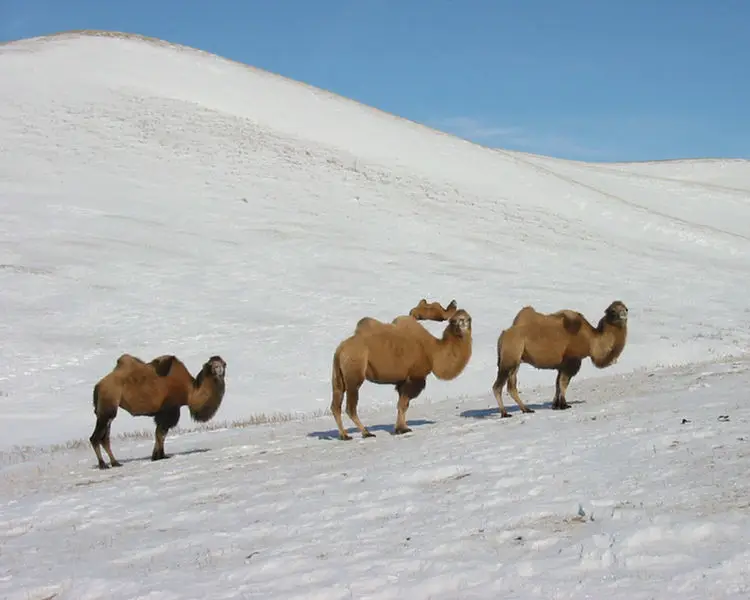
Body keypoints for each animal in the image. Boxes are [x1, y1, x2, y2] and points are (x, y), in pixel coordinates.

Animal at [89, 353, 227, 469]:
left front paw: (157, 455)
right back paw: (103, 465)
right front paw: (160, 456)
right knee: (95, 438)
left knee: (104, 438)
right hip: (108, 406)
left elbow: (159, 434)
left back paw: (115, 463)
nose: (219, 370)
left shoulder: (163, 412)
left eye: (222, 363)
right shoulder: (170, 410)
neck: (189, 392)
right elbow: (161, 433)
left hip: (107, 411)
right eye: (212, 365)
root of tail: (98, 386)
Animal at [331, 309, 473, 440]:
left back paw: (344, 435)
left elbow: (402, 404)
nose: (462, 324)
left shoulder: (402, 380)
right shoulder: (415, 377)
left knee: (335, 405)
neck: (433, 351)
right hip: (354, 373)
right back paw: (366, 433)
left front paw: (400, 428)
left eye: (467, 318)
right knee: (350, 407)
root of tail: (340, 350)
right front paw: (403, 429)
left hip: (338, 376)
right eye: (454, 320)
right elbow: (403, 405)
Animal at [492, 301, 628, 416]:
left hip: (516, 361)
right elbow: (563, 383)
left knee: (511, 386)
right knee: (497, 386)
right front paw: (564, 405)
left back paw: (526, 409)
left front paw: (555, 405)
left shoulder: (562, 365)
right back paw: (505, 413)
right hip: (509, 358)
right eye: (612, 311)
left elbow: (557, 383)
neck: (591, 340)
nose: (623, 314)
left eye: (626, 308)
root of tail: (503, 335)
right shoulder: (573, 360)